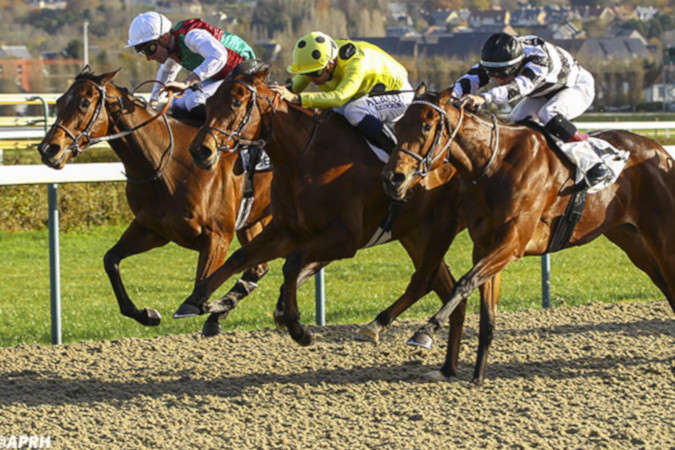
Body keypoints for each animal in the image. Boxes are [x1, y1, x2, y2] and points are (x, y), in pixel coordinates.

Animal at [36, 69, 273, 337]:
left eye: (84, 103)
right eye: (59, 102)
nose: (48, 149)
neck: (168, 164)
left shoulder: (217, 236)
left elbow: (201, 291)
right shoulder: (152, 229)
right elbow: (110, 260)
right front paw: (147, 314)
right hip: (253, 220)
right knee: (257, 268)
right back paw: (216, 318)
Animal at [174, 62, 502, 375]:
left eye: (237, 103)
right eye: (210, 101)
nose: (201, 150)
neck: (305, 156)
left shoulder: (344, 239)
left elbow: (291, 265)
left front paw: (297, 327)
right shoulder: (285, 231)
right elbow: (239, 258)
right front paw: (196, 300)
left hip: (438, 228)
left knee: (428, 280)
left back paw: (383, 329)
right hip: (416, 232)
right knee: (439, 283)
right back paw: (446, 366)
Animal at [381, 88, 675, 385]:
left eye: (426, 126)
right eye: (398, 125)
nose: (393, 178)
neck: (497, 164)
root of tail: (663, 153)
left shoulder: (512, 243)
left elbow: (464, 282)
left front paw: (425, 331)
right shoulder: (485, 245)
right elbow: (486, 312)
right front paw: (478, 376)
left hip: (663, 238)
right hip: (632, 241)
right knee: (665, 284)